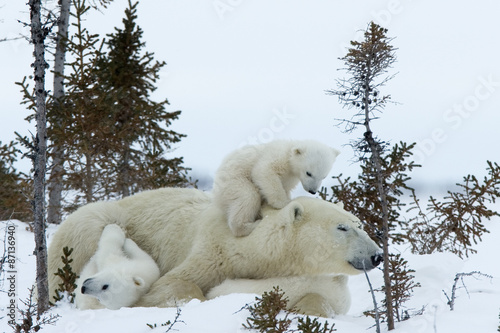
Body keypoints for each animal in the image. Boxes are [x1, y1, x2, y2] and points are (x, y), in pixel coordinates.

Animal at [47, 188, 382, 316]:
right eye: (343, 227)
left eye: (360, 223)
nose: (377, 255)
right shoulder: (213, 250)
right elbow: (172, 284)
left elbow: (326, 299)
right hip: (94, 223)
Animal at [213, 140, 342, 236]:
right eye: (308, 173)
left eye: (324, 176)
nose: (312, 191)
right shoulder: (276, 157)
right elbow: (264, 171)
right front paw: (284, 203)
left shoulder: (290, 178)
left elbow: (285, 187)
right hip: (234, 181)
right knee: (248, 196)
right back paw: (250, 224)